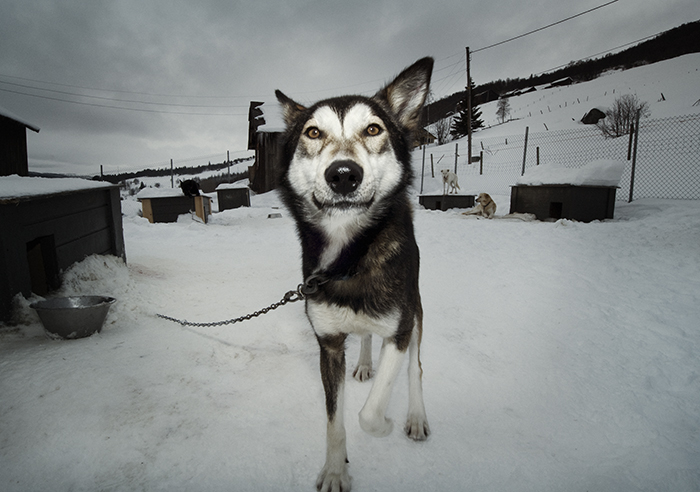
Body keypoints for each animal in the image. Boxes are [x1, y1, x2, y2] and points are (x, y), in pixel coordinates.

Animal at [274, 56, 432, 488]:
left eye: (374, 129)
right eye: (313, 132)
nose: (343, 174)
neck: (350, 259)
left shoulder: (400, 329)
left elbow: (369, 413)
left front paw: (386, 425)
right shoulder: (328, 344)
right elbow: (335, 422)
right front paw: (334, 471)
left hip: (417, 312)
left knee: (416, 369)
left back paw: (415, 416)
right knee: (363, 337)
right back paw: (363, 363)